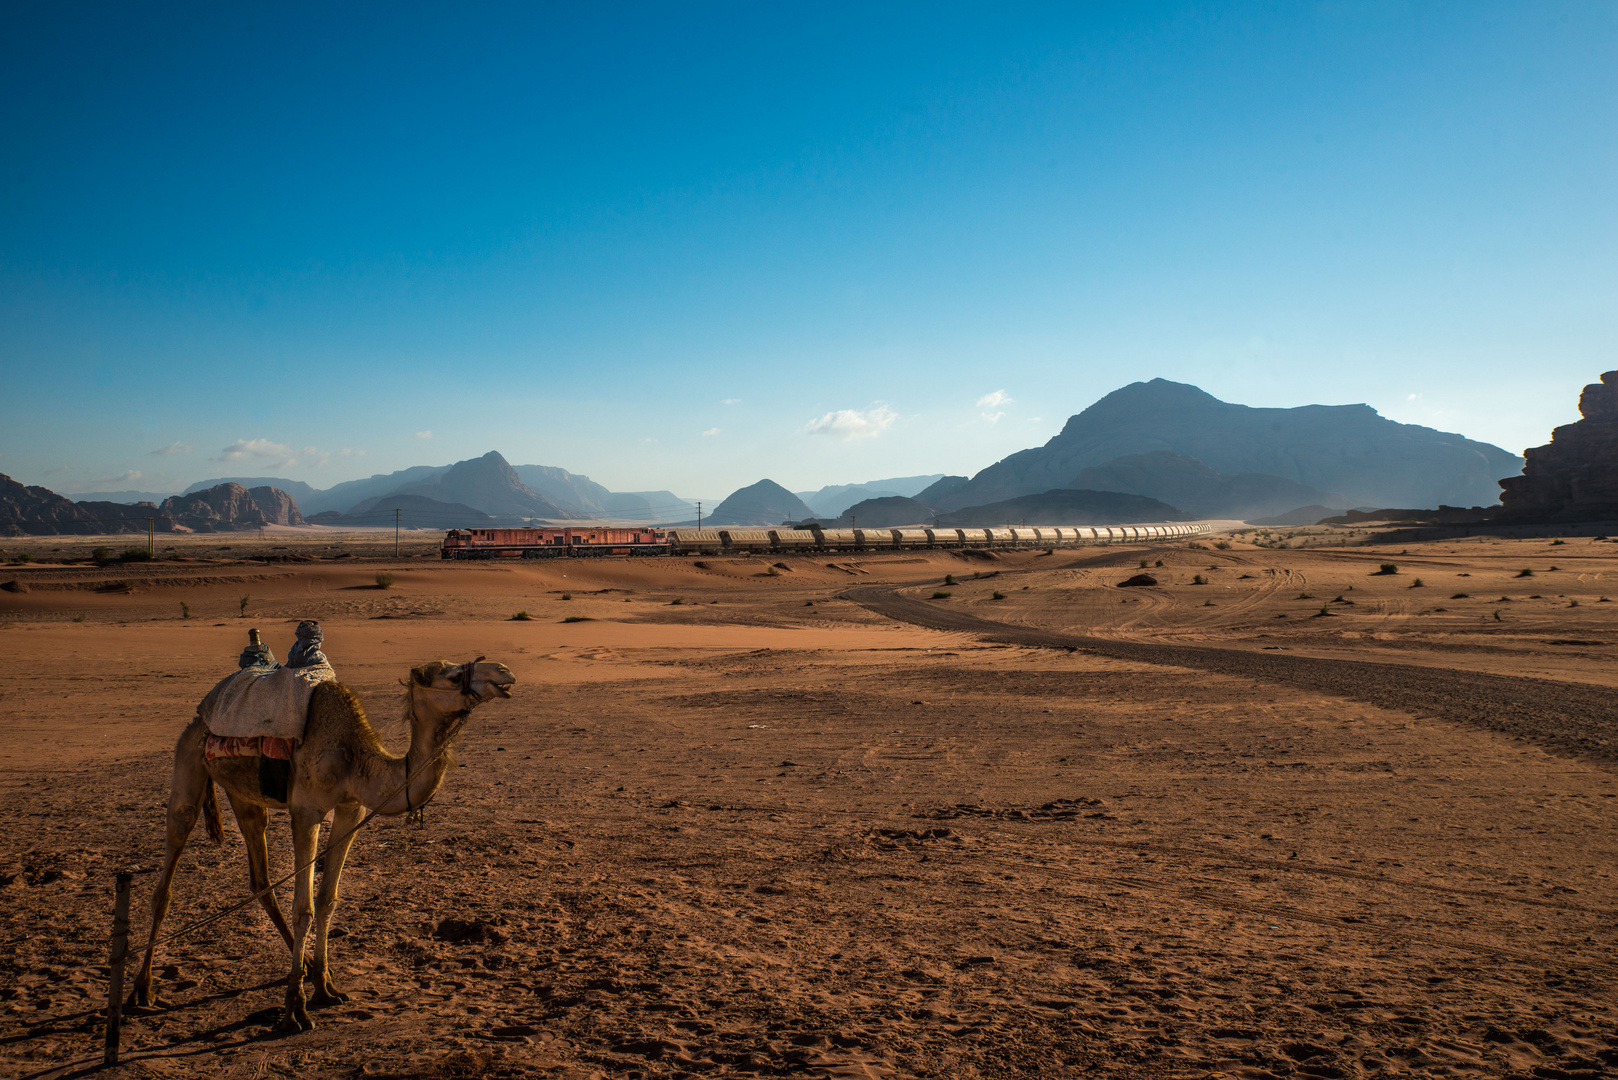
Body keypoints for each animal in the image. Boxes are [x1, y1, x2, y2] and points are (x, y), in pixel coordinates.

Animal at [129, 654, 514, 1036]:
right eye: (452, 677)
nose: (504, 672)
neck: (354, 758)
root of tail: (201, 718)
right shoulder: (306, 811)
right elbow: (304, 908)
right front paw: (295, 1009)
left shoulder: (350, 809)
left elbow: (327, 900)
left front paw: (325, 985)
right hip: (188, 761)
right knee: (168, 869)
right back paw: (142, 990)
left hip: (244, 792)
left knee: (260, 878)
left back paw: (303, 967)